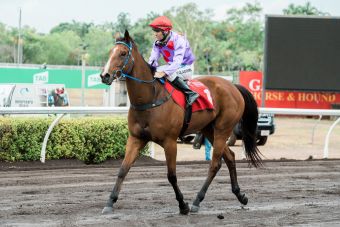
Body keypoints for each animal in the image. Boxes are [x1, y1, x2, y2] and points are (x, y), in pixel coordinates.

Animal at [99, 30, 262, 215]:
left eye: (123, 53)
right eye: (110, 52)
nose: (104, 75)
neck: (150, 98)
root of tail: (234, 86)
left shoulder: (170, 142)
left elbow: (171, 175)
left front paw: (183, 205)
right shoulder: (136, 138)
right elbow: (122, 170)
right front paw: (110, 202)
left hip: (223, 128)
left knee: (215, 164)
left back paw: (197, 201)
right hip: (208, 130)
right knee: (229, 157)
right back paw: (240, 195)